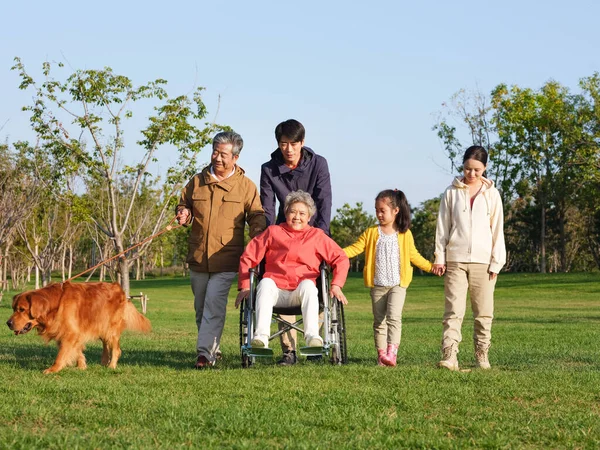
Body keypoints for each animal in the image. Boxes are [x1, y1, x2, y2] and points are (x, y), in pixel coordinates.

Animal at [5, 282, 151, 372]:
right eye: (13, 308)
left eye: (22, 310)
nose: (8, 323)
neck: (55, 305)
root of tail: (120, 289)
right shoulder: (66, 332)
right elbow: (77, 351)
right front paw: (81, 366)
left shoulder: (71, 333)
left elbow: (62, 354)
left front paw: (53, 369)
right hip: (101, 327)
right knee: (106, 345)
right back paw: (104, 362)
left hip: (111, 329)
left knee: (116, 349)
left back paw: (111, 365)